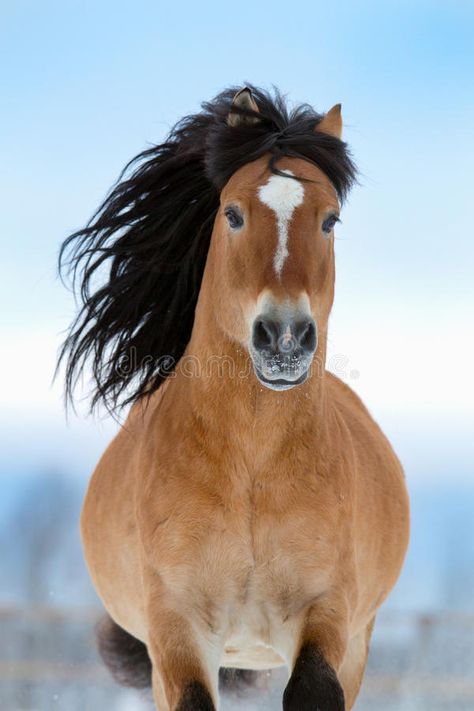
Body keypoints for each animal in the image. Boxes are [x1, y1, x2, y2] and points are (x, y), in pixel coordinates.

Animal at [58, 86, 408, 708]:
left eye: (330, 219)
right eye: (233, 213)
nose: (285, 338)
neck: (252, 465)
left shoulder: (330, 612)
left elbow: (314, 690)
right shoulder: (176, 628)